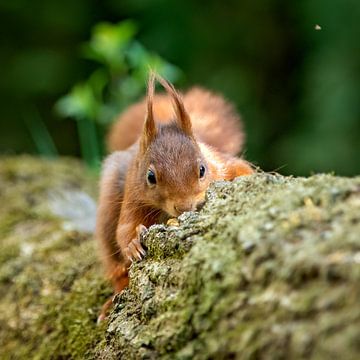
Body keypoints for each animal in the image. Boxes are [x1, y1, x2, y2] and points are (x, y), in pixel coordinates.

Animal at [95, 72, 253, 318]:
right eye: (150, 177)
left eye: (202, 169)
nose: (185, 207)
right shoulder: (133, 197)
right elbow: (124, 230)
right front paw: (133, 244)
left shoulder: (222, 165)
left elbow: (244, 171)